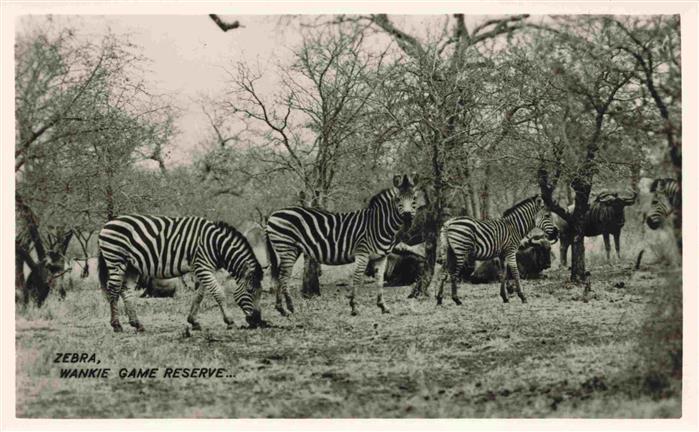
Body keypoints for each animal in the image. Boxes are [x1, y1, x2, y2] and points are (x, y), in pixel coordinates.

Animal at [97, 215, 264, 332]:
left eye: (261, 292)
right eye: (250, 291)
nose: (257, 321)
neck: (216, 245)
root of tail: (108, 224)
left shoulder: (203, 269)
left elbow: (199, 296)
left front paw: (193, 321)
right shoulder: (203, 266)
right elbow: (219, 293)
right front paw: (230, 321)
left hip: (131, 266)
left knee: (126, 291)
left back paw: (137, 324)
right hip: (116, 260)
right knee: (113, 290)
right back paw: (117, 325)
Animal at [265, 175, 422, 316]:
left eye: (414, 199)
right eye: (398, 199)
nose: (408, 217)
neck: (378, 224)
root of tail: (273, 214)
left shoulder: (381, 257)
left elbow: (379, 280)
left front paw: (383, 306)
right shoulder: (362, 253)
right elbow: (357, 279)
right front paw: (354, 307)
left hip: (290, 249)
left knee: (278, 276)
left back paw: (281, 308)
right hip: (287, 248)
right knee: (283, 277)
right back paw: (290, 308)